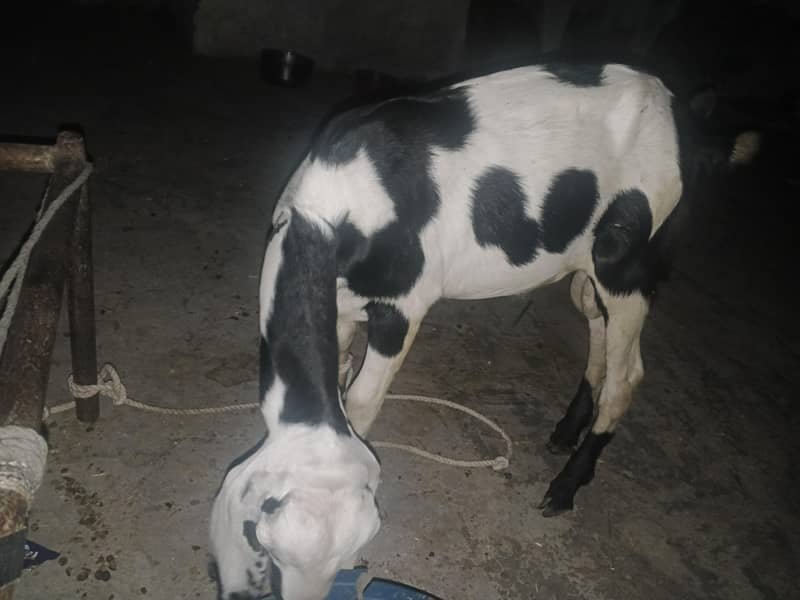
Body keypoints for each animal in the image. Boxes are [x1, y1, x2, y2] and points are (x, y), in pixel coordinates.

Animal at [210, 62, 683, 600]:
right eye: (269, 552)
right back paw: (565, 432)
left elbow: (362, 401)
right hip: (586, 269)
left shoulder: (403, 308)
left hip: (629, 262)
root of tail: (660, 94)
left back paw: (565, 487)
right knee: (595, 322)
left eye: (345, 557)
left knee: (627, 377)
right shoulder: (341, 307)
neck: (335, 208)